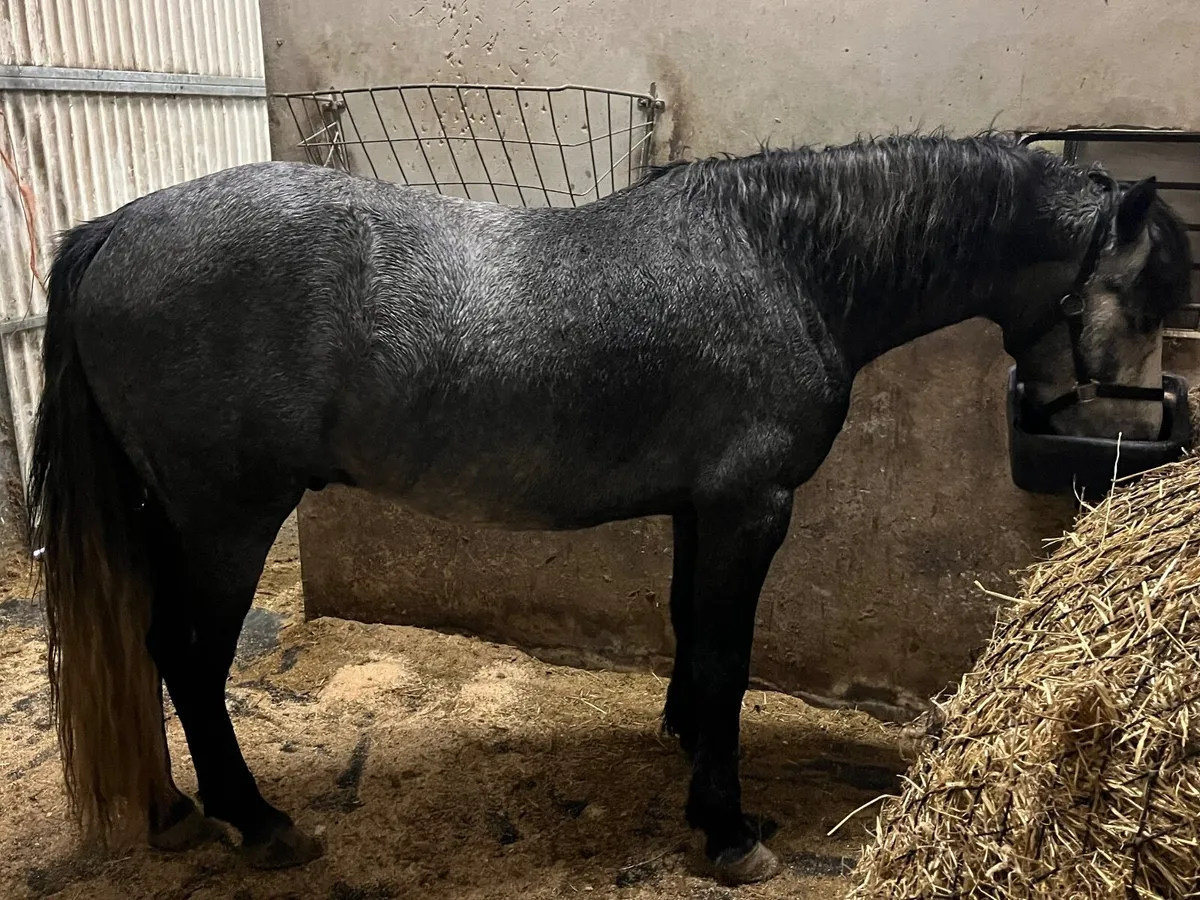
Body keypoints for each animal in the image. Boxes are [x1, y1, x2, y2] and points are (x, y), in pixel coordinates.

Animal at [28, 131, 1192, 884]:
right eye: (1145, 295)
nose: (1119, 447)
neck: (781, 262)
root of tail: (117, 226)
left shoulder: (699, 508)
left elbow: (692, 635)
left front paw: (685, 748)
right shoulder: (751, 507)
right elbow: (726, 656)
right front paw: (726, 830)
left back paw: (176, 811)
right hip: (225, 520)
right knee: (189, 658)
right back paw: (257, 822)